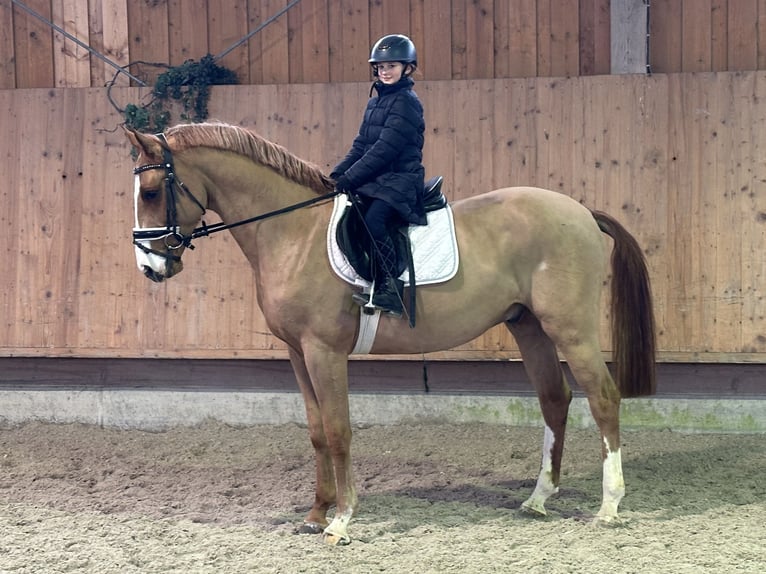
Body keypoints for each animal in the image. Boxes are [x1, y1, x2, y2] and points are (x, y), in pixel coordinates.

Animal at [125, 121, 656, 545]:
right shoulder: (297, 354)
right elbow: (316, 432)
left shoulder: (323, 352)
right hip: (530, 327)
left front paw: (341, 520)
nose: (150, 267)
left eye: (150, 192)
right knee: (554, 399)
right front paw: (315, 513)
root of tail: (582, 211)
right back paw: (539, 498)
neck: (293, 231)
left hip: (570, 327)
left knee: (603, 396)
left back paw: (609, 506)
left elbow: (338, 430)